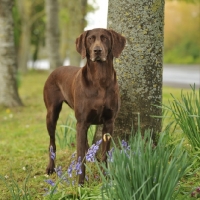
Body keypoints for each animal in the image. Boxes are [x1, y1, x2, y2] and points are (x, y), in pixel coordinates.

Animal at [43, 28, 126, 184]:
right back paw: (51, 167)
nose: (97, 50)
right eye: (90, 39)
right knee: (52, 142)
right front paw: (80, 182)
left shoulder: (109, 122)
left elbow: (105, 153)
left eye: (105, 38)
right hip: (51, 113)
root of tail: (54, 70)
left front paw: (106, 177)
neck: (100, 79)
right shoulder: (81, 123)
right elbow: (80, 157)